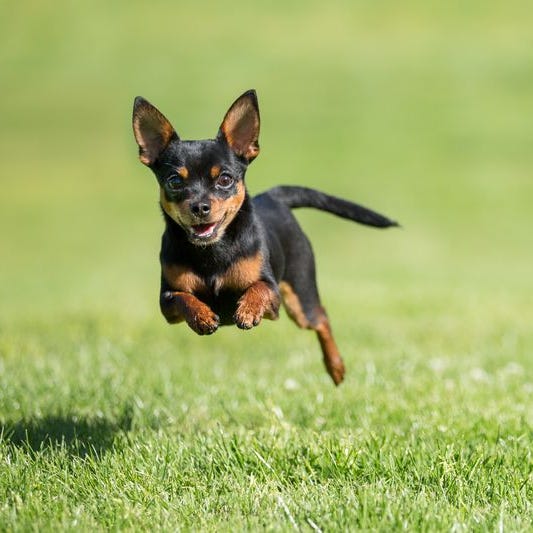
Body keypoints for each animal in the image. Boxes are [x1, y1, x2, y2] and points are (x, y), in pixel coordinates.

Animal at [131, 90, 396, 382]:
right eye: (175, 181)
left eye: (225, 179)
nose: (200, 207)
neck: (212, 251)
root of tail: (273, 196)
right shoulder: (167, 302)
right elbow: (183, 298)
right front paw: (202, 316)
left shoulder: (273, 298)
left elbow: (259, 288)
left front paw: (247, 310)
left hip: (300, 299)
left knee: (321, 317)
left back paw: (335, 366)